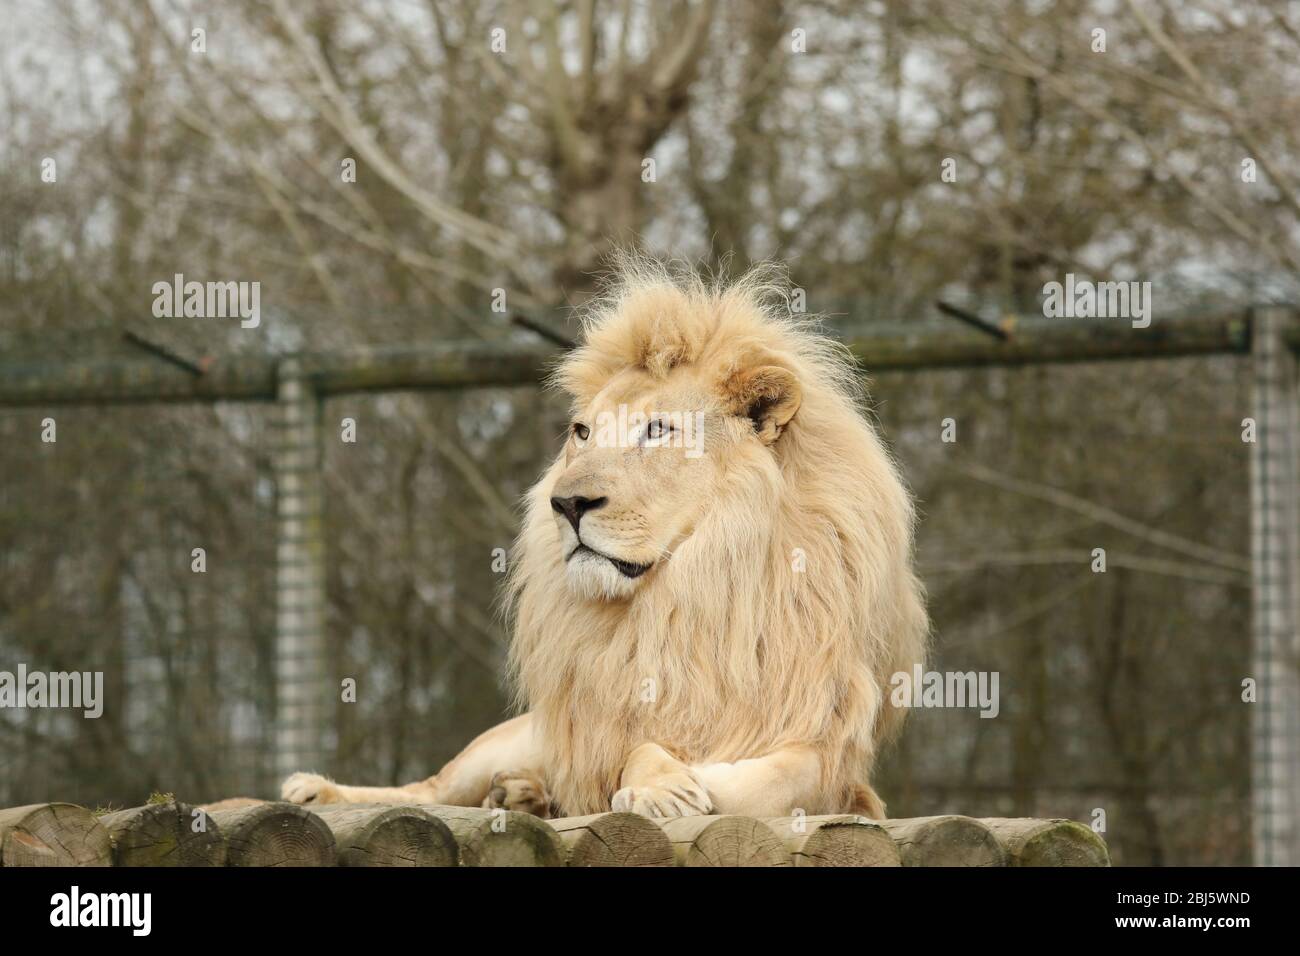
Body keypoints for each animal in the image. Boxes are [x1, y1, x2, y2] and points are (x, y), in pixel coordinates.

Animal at [283, 261, 930, 822]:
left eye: (659, 430)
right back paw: (320, 790)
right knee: (430, 789)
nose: (566, 504)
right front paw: (660, 787)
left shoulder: (824, 748)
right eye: (582, 432)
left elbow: (762, 780)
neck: (694, 589)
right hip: (511, 740)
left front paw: (683, 787)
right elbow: (638, 749)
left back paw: (523, 796)